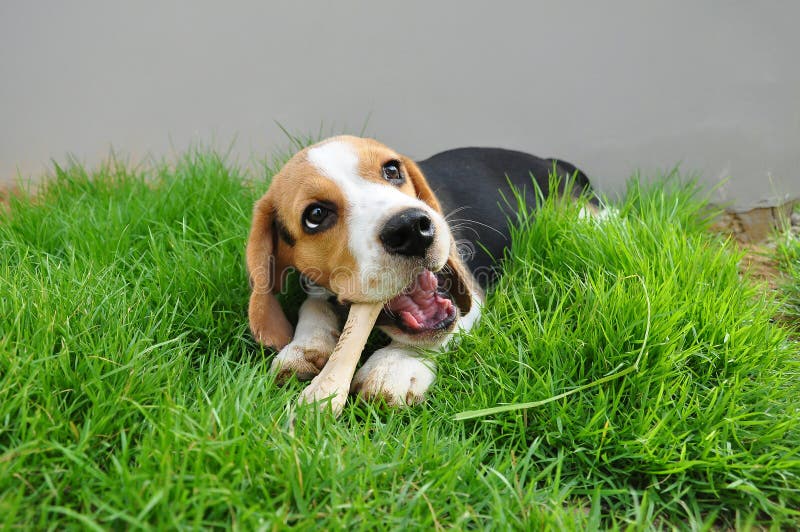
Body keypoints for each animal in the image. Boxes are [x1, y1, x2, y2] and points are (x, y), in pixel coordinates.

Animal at [244, 135, 592, 406]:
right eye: (315, 215)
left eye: (392, 169)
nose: (411, 228)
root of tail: (549, 161)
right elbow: (313, 306)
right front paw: (304, 347)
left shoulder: (470, 295)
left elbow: (436, 334)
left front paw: (394, 365)